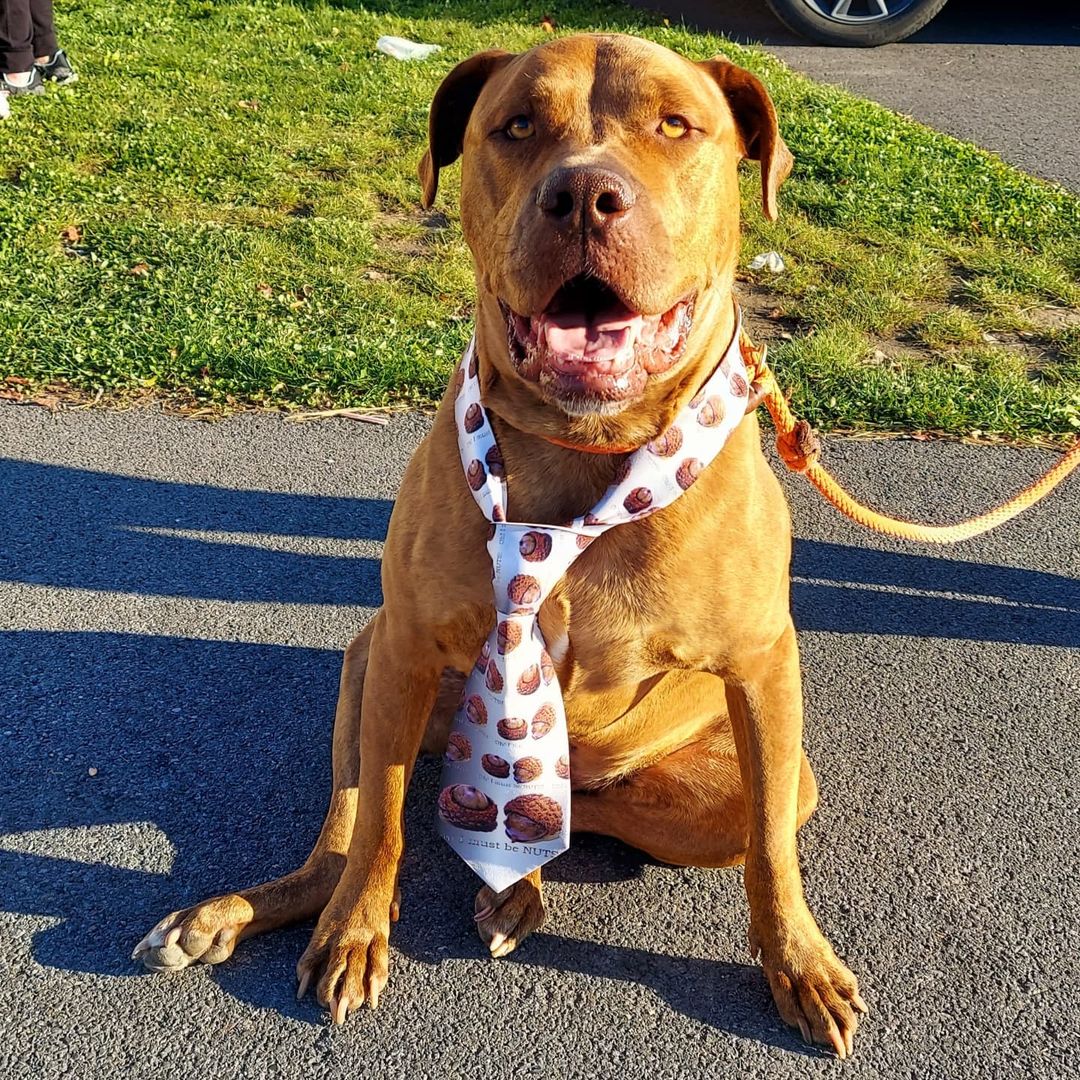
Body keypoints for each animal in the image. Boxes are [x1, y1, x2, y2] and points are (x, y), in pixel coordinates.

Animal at [137, 31, 868, 1054]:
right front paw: (356, 933)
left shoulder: (764, 670)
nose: (586, 194)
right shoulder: (405, 647)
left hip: (744, 779)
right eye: (516, 125)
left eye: (675, 125)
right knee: (350, 828)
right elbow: (381, 830)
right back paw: (250, 911)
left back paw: (519, 885)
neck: (582, 453)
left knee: (595, 813)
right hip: (367, 666)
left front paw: (798, 963)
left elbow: (769, 851)